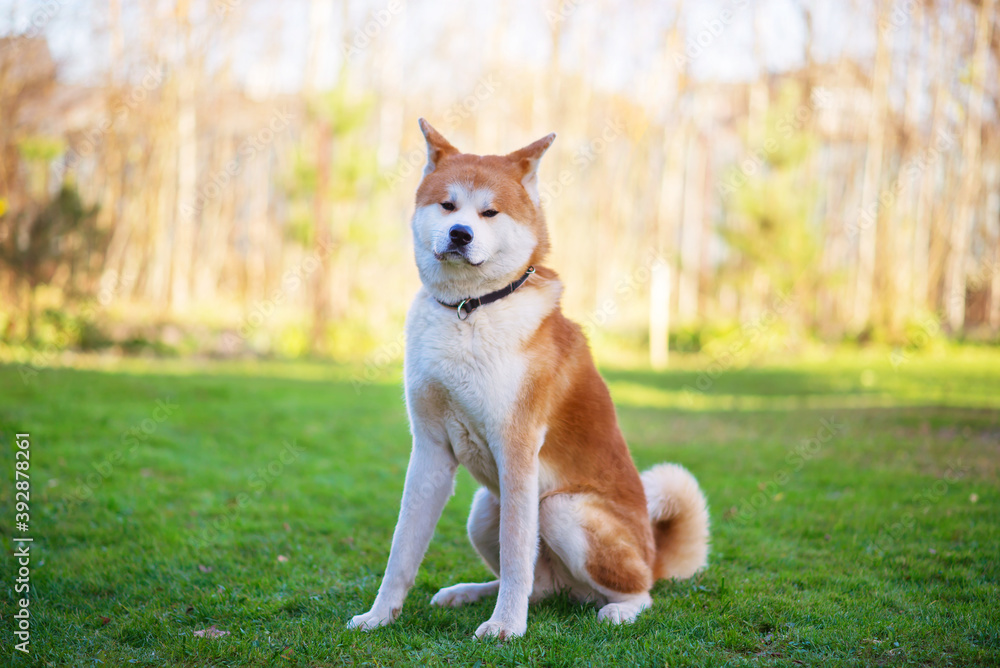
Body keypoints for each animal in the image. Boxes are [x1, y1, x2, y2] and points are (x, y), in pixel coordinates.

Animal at [348, 121, 708, 640]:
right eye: (448, 205)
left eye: (489, 212)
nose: (460, 234)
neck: (470, 310)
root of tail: (654, 556)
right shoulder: (430, 449)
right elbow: (402, 549)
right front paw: (379, 615)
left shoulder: (517, 448)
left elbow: (517, 553)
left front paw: (505, 628)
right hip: (484, 509)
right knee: (540, 587)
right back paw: (468, 593)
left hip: (560, 509)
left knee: (638, 591)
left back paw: (619, 609)